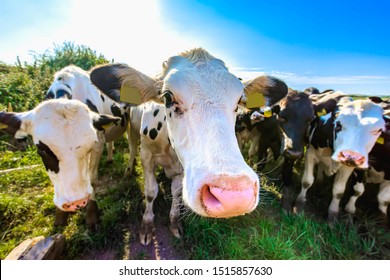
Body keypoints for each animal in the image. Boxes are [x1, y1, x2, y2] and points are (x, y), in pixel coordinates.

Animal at [0, 98, 120, 228]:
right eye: (42, 149)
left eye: (91, 145)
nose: (77, 202)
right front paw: (60, 215)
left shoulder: (99, 143)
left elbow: (92, 180)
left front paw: (92, 216)